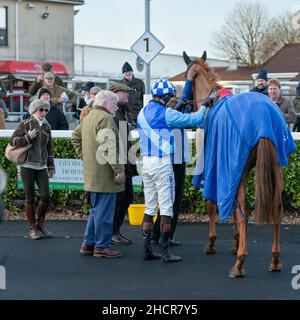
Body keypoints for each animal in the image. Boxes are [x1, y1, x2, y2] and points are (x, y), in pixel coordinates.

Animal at [184, 51, 296, 276]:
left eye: (185, 76)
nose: (184, 104)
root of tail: (264, 117)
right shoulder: (229, 168)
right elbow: (233, 205)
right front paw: (235, 242)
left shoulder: (218, 167)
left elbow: (214, 205)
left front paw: (213, 243)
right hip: (276, 166)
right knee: (277, 207)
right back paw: (275, 259)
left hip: (241, 168)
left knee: (244, 208)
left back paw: (239, 264)